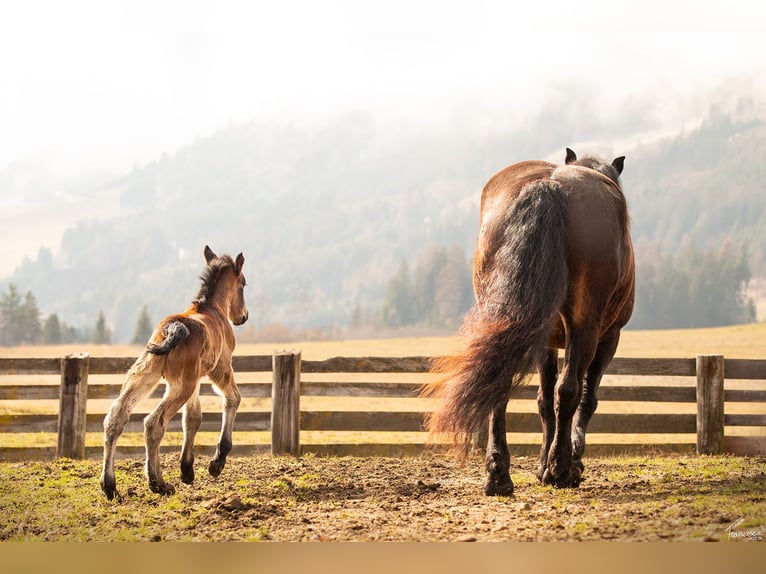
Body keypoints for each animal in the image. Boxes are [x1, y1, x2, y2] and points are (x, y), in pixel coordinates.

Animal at [100, 246, 249, 500]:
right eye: (244, 284)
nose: (243, 317)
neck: (213, 309)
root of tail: (173, 328)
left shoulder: (196, 379)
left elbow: (193, 418)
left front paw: (187, 470)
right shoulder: (221, 369)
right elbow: (233, 399)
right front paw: (216, 462)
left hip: (145, 375)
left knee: (116, 417)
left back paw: (110, 486)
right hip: (180, 385)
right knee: (153, 423)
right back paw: (158, 483)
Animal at [425, 148, 634, 495]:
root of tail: (548, 185)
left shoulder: (545, 340)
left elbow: (544, 400)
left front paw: (542, 464)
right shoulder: (609, 337)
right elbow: (583, 398)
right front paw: (569, 462)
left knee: (501, 386)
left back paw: (499, 474)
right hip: (586, 327)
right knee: (570, 390)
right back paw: (561, 469)